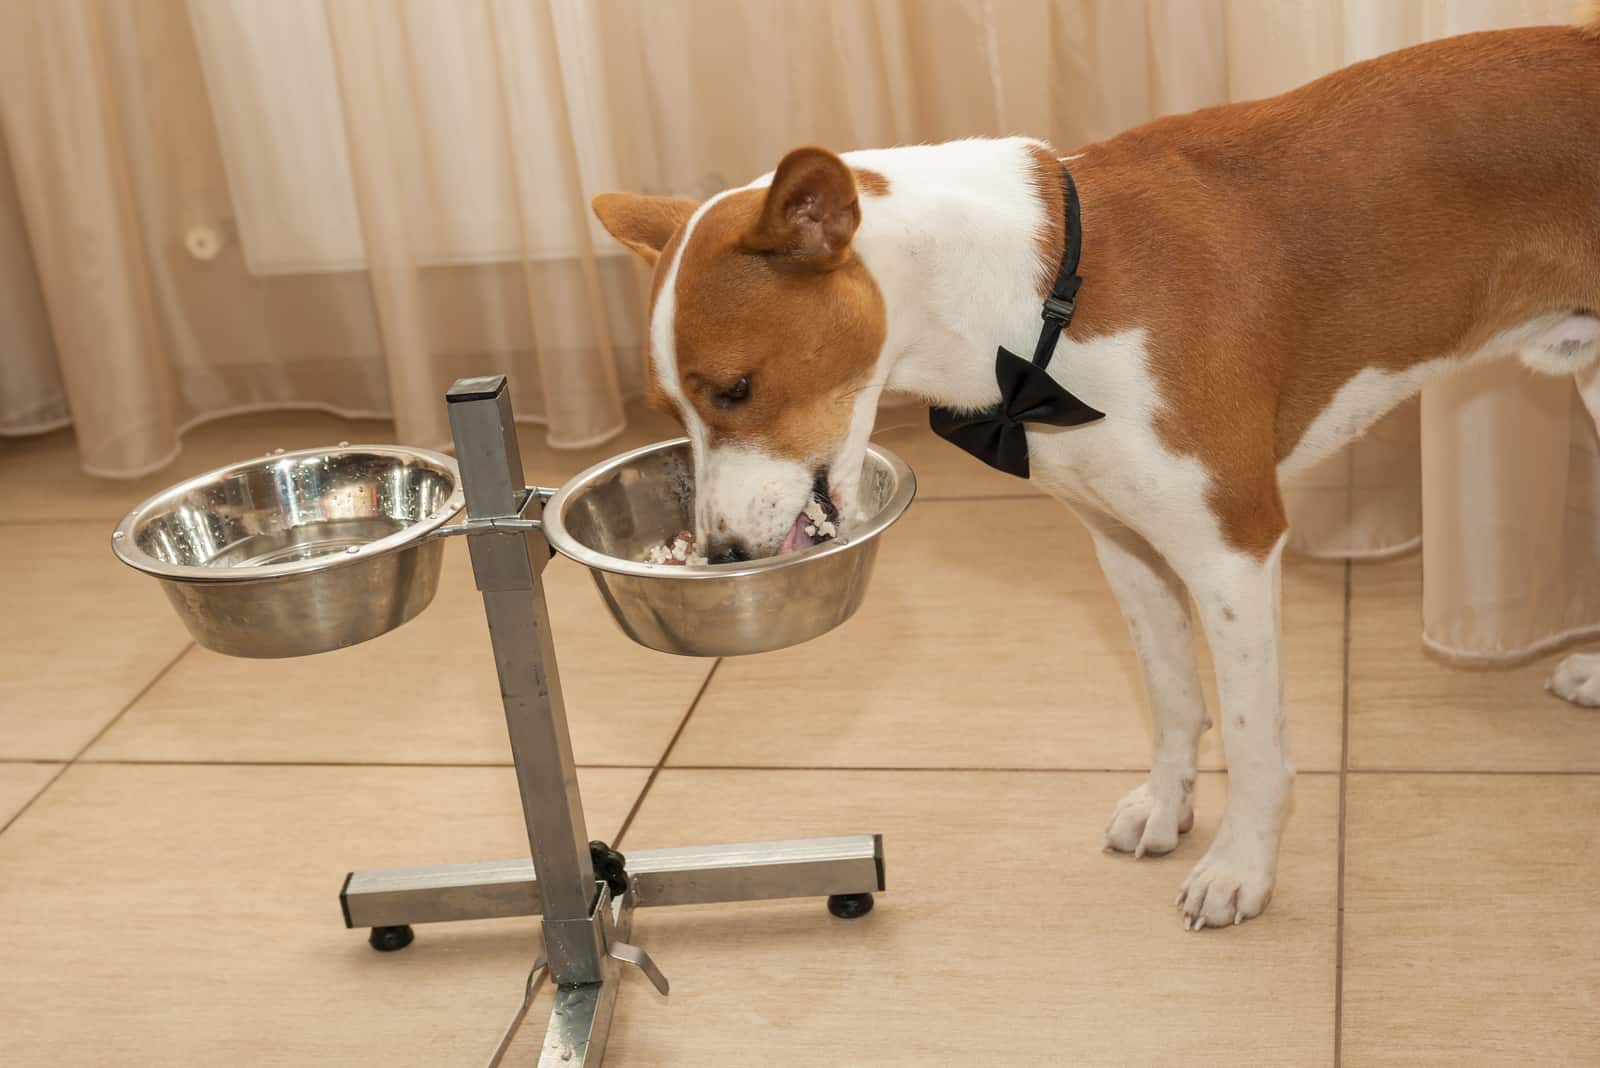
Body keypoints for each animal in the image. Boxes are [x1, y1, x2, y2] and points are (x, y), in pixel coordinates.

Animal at [592, 10, 1600, 927]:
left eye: (735, 388)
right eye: (671, 411)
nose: (721, 555)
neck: (1040, 307)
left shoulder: (1232, 546)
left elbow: (1253, 738)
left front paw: (1241, 868)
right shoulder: (1127, 542)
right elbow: (1174, 697)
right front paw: (1167, 808)